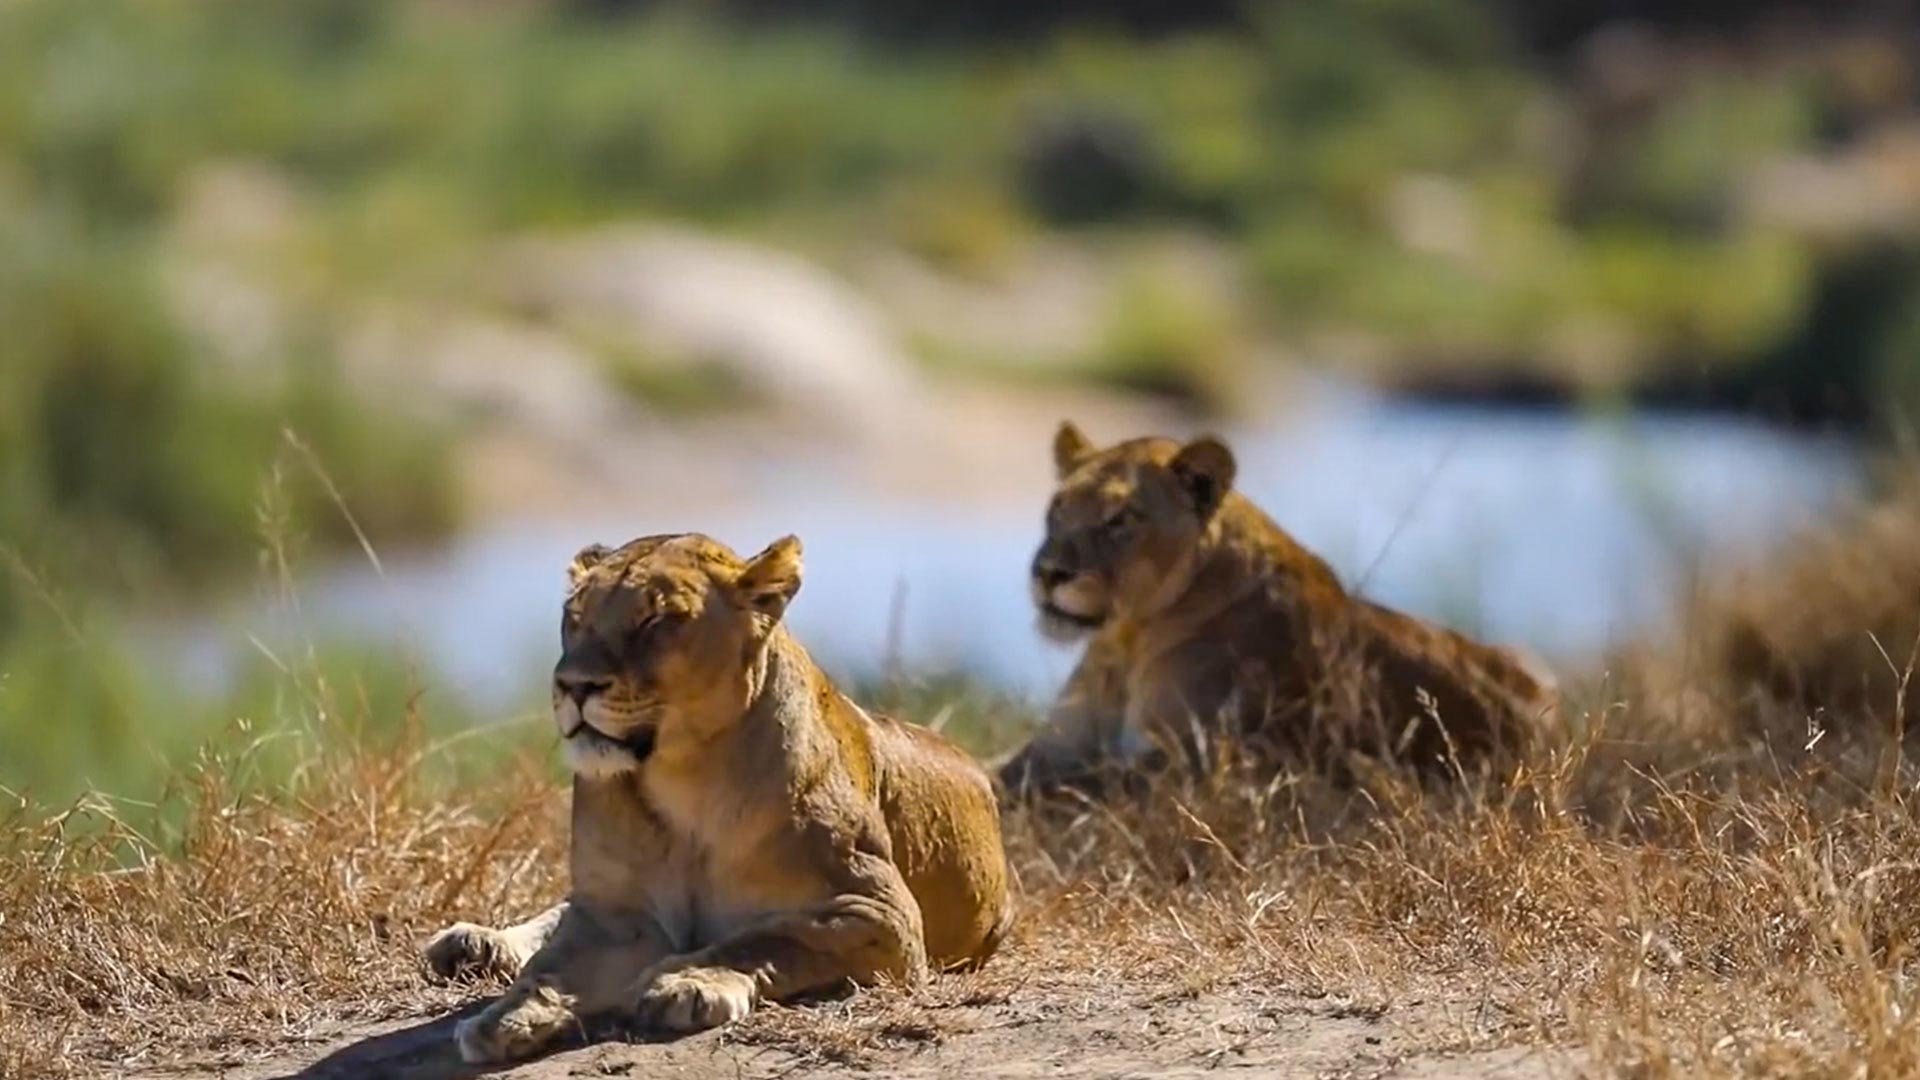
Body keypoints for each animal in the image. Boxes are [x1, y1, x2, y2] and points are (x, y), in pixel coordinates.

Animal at [423, 533, 1012, 1064]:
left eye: (655, 621)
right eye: (574, 617)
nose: (572, 685)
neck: (685, 783)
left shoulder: (882, 913)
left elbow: (770, 937)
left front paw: (686, 982)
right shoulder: (615, 914)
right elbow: (553, 966)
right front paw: (505, 1016)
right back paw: (472, 945)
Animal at [997, 422, 1557, 798]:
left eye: (1120, 519)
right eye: (1057, 508)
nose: (1048, 572)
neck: (1125, 640)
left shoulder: (1186, 765)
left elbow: (1072, 789)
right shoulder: (1052, 747)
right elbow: (997, 772)